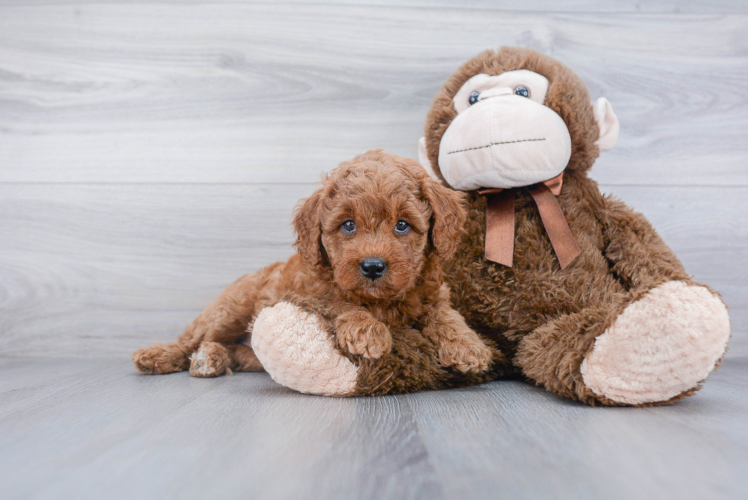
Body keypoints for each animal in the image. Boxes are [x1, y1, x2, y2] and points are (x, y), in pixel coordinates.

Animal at [131, 150, 494, 380]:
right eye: (348, 225)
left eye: (402, 225)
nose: (372, 267)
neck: (382, 302)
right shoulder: (309, 293)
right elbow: (340, 301)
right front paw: (368, 331)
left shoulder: (434, 294)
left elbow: (445, 315)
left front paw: (468, 346)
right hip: (230, 309)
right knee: (192, 339)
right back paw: (160, 356)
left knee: (233, 351)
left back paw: (213, 359)